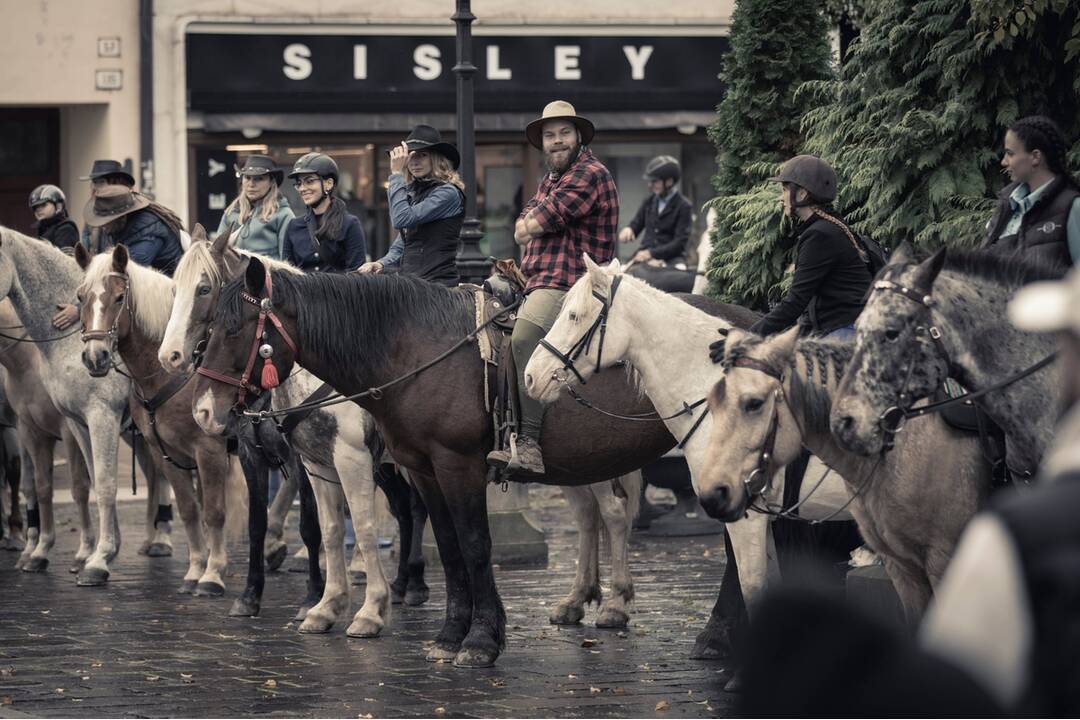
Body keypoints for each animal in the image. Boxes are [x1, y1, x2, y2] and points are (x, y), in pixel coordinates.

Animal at [0, 227, 172, 582]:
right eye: (80, 298)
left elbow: (101, 484)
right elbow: (84, 481)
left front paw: (97, 558)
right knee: (155, 473)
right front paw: (100, 551)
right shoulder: (73, 423)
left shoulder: (99, 417)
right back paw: (153, 539)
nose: (95, 359)